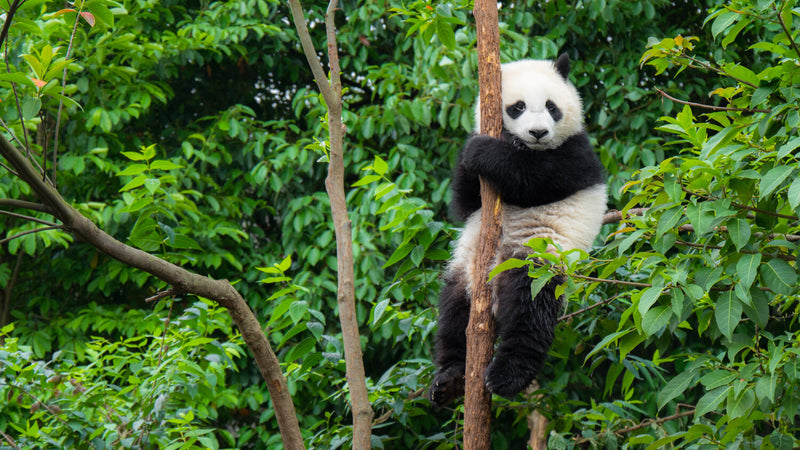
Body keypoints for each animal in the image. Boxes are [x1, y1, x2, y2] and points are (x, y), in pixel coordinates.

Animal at [432, 54, 608, 406]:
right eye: (518, 107)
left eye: (552, 107)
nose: (537, 132)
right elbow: (464, 204)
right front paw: (473, 149)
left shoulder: (576, 154)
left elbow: (534, 179)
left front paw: (483, 151)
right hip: (466, 270)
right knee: (454, 312)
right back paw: (450, 379)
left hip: (538, 257)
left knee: (530, 308)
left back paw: (507, 376)